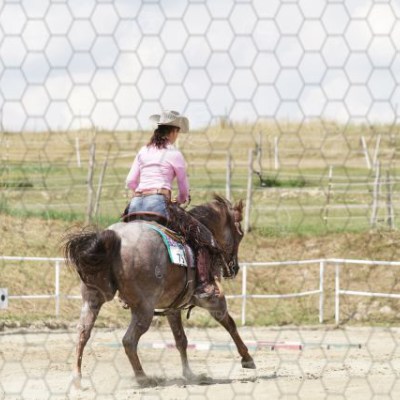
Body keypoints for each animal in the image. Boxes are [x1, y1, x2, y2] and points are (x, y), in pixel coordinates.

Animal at [63, 195, 256, 387]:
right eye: (240, 234)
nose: (234, 268)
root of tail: (116, 237)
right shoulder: (213, 300)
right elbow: (229, 324)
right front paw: (247, 358)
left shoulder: (173, 308)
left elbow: (181, 340)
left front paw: (189, 374)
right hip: (144, 309)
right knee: (129, 341)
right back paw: (143, 377)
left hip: (93, 298)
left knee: (83, 332)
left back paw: (77, 377)